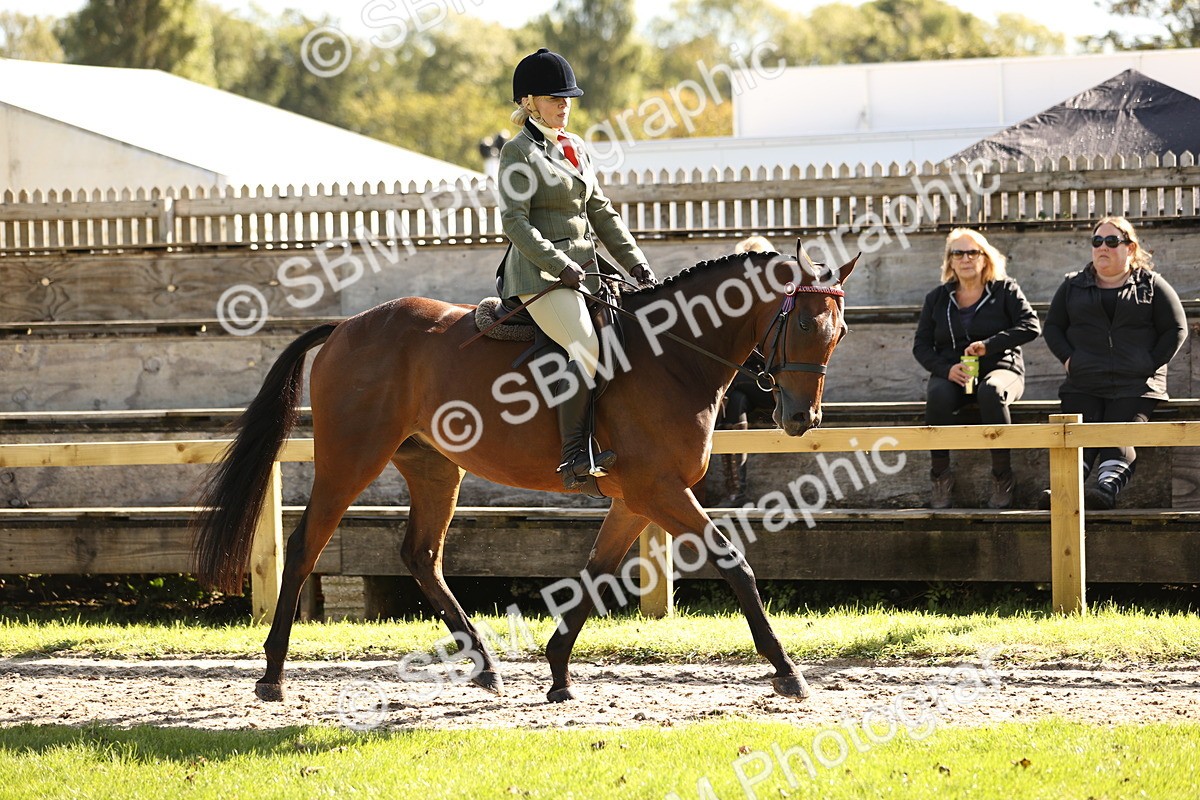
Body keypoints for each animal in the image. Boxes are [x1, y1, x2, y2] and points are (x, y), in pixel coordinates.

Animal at [192, 247, 856, 704]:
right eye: (801, 325)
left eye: (840, 331)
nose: (801, 419)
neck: (671, 355)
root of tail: (348, 326)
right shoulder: (660, 491)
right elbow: (732, 563)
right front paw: (787, 671)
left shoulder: (636, 498)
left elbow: (597, 571)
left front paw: (558, 670)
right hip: (350, 460)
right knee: (307, 545)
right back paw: (273, 675)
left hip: (434, 467)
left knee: (421, 555)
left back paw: (485, 665)